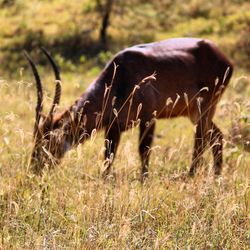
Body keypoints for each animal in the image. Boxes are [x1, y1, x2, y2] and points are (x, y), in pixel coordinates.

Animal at [25, 38, 232, 180]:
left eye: (45, 142)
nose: (34, 168)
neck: (119, 76)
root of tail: (223, 57)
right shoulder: (113, 127)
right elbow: (108, 156)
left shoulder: (149, 118)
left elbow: (143, 150)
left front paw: (143, 180)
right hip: (195, 113)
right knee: (216, 137)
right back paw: (216, 175)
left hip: (205, 109)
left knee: (200, 141)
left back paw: (191, 175)